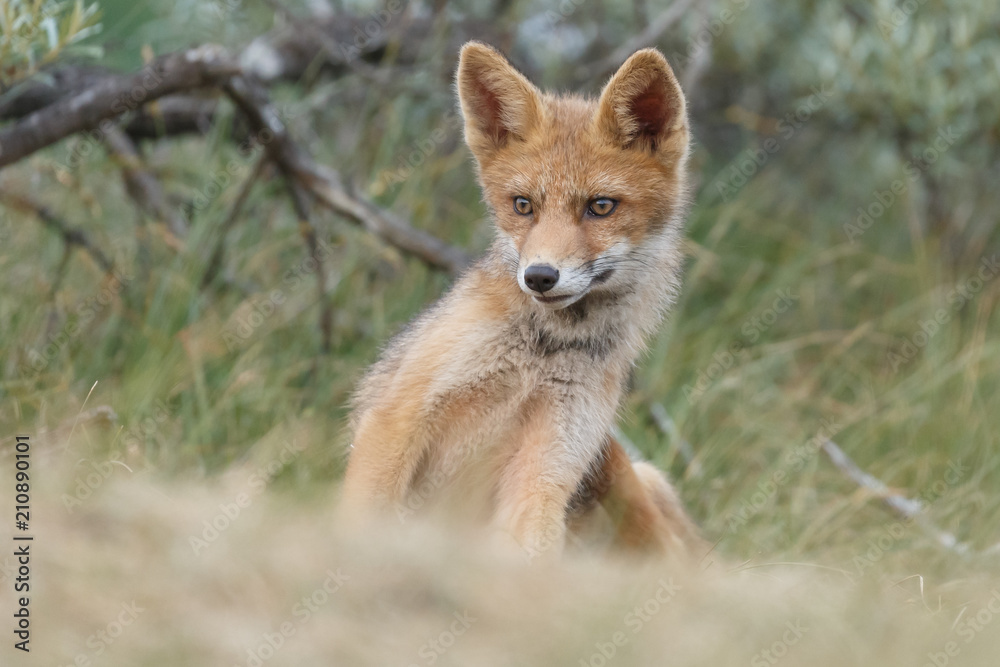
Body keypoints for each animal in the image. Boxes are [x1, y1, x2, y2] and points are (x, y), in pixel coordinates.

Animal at [344, 41, 704, 560]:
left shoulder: (548, 466)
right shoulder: (395, 419)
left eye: (600, 206)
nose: (539, 276)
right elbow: (358, 526)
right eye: (523, 206)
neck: (539, 355)